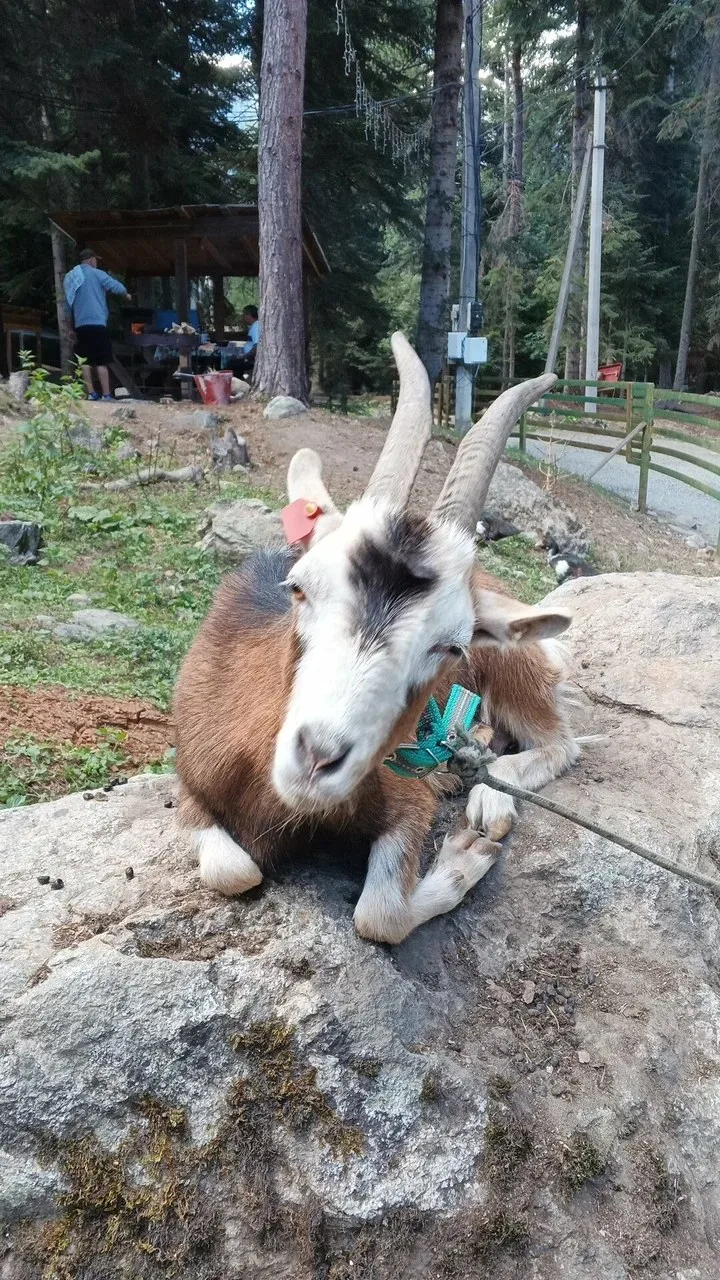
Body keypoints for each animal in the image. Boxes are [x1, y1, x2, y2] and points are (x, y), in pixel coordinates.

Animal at [174, 335, 579, 944]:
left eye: (453, 646)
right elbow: (232, 870)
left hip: (518, 671)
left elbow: (379, 914)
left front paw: (466, 856)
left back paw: (490, 795)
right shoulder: (186, 776)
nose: (318, 759)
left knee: (560, 743)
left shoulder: (403, 791)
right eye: (299, 586)